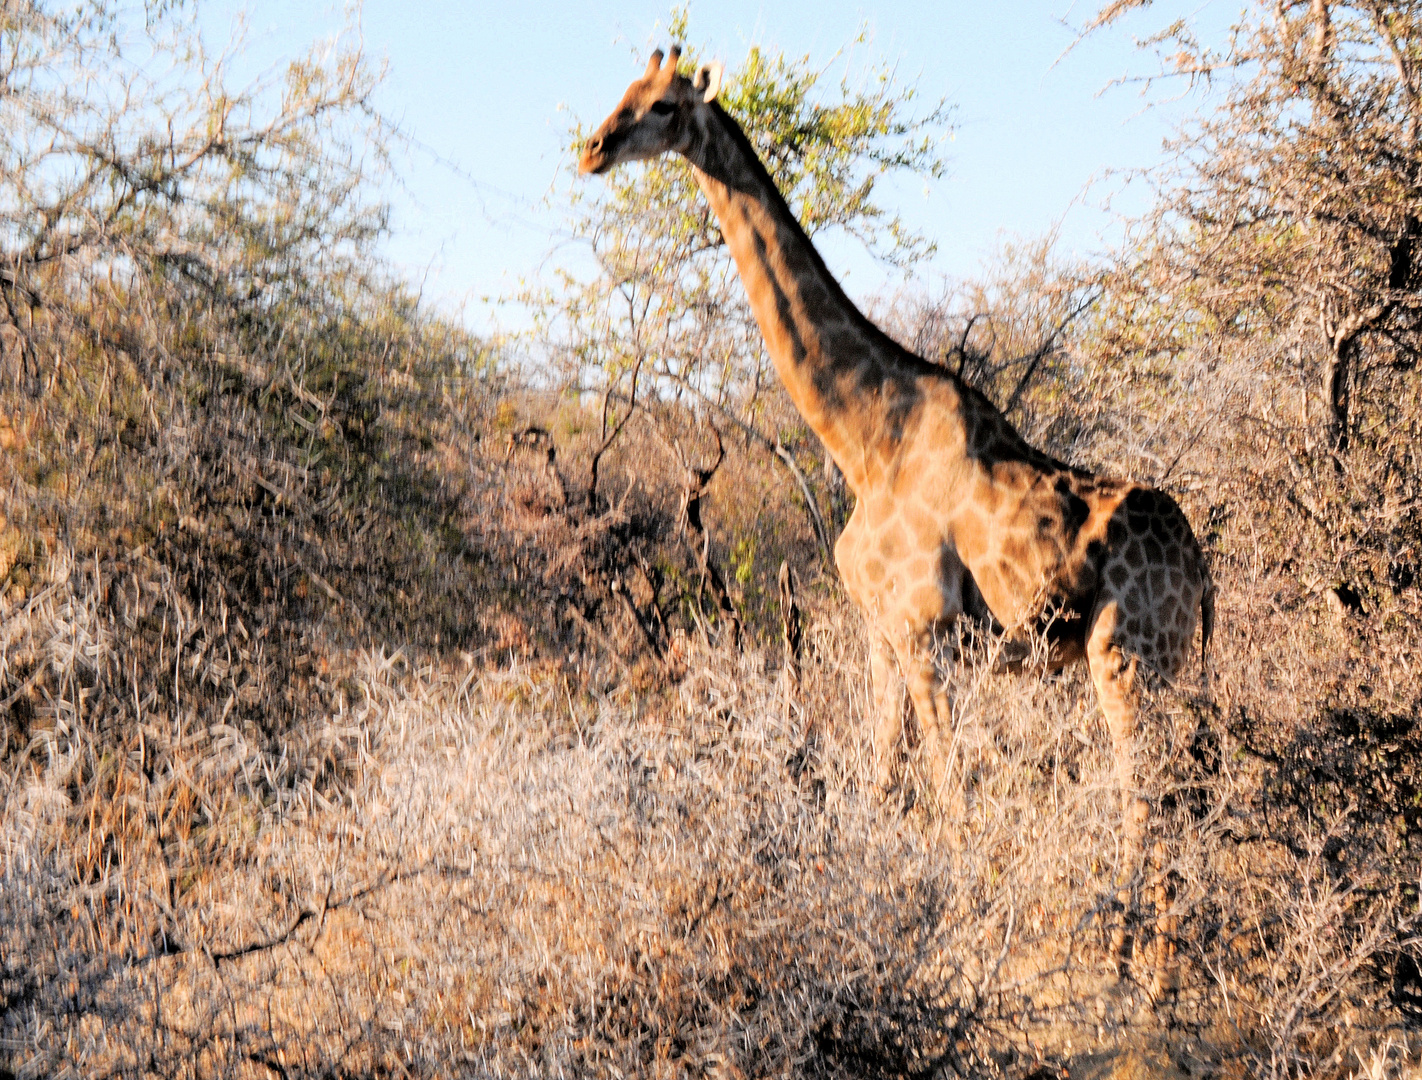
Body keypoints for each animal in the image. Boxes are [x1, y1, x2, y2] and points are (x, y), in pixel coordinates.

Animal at [577, 48, 1211, 990]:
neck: (865, 436)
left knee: (1149, 798)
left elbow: (953, 792)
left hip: (1126, 657)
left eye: (659, 107)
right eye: (620, 93)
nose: (591, 148)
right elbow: (883, 784)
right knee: (1183, 797)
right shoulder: (879, 631)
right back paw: (1156, 964)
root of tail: (1202, 566)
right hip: (1166, 666)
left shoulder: (922, 630)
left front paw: (966, 945)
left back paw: (1132, 972)